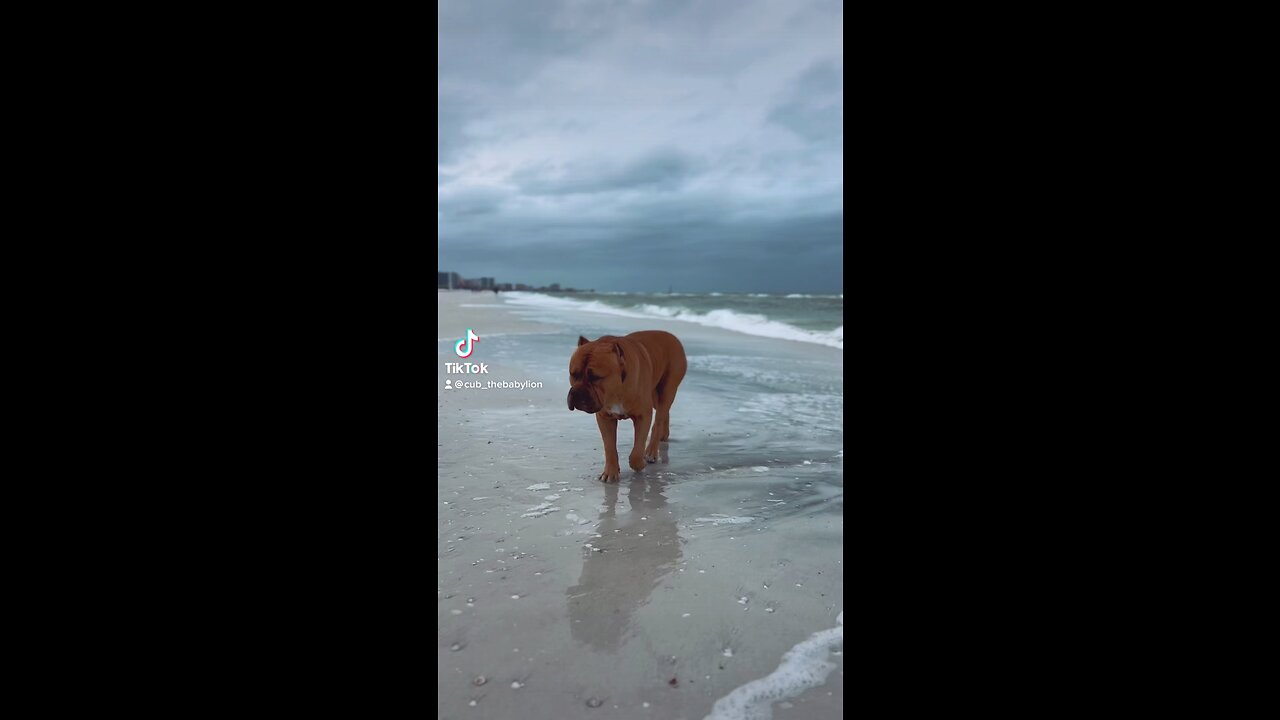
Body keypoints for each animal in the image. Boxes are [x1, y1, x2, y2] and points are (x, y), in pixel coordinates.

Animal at [573, 330, 691, 476]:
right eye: (573, 374)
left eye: (595, 377)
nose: (577, 393)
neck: (617, 389)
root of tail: (673, 337)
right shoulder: (605, 418)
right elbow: (609, 447)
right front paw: (611, 472)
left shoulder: (643, 416)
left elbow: (637, 448)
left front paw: (639, 464)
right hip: (655, 395)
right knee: (664, 413)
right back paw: (664, 435)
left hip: (667, 390)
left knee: (659, 419)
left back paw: (651, 451)